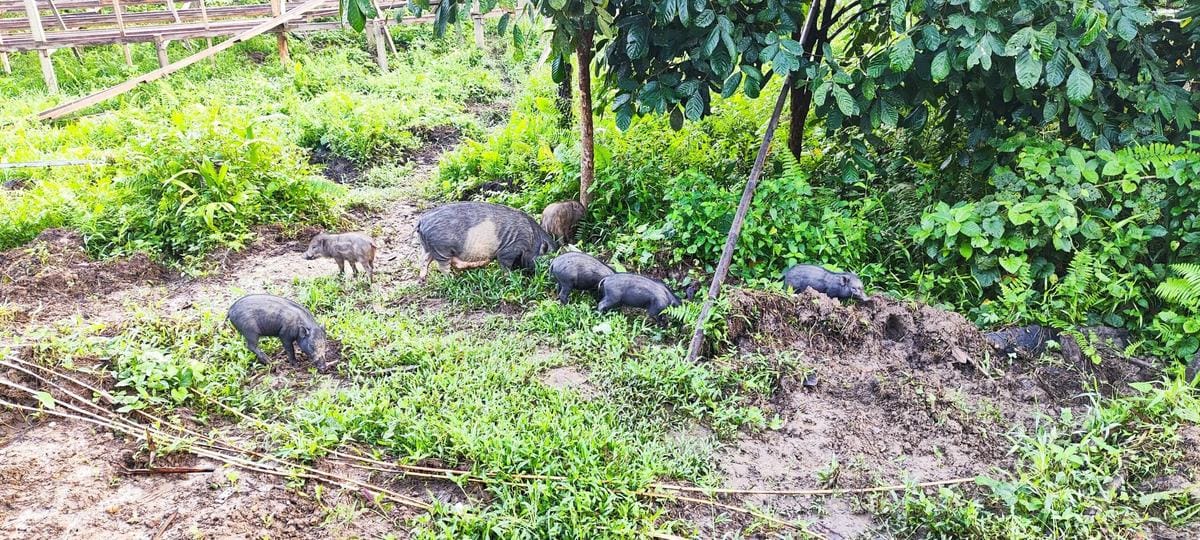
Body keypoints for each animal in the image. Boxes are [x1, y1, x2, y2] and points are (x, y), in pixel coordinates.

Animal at [416, 201, 557, 282]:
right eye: (547, 260)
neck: (532, 240)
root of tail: (422, 220)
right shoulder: (510, 249)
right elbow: (505, 263)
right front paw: (511, 276)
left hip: (429, 247)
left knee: (424, 260)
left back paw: (423, 278)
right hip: (441, 249)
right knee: (442, 266)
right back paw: (452, 279)